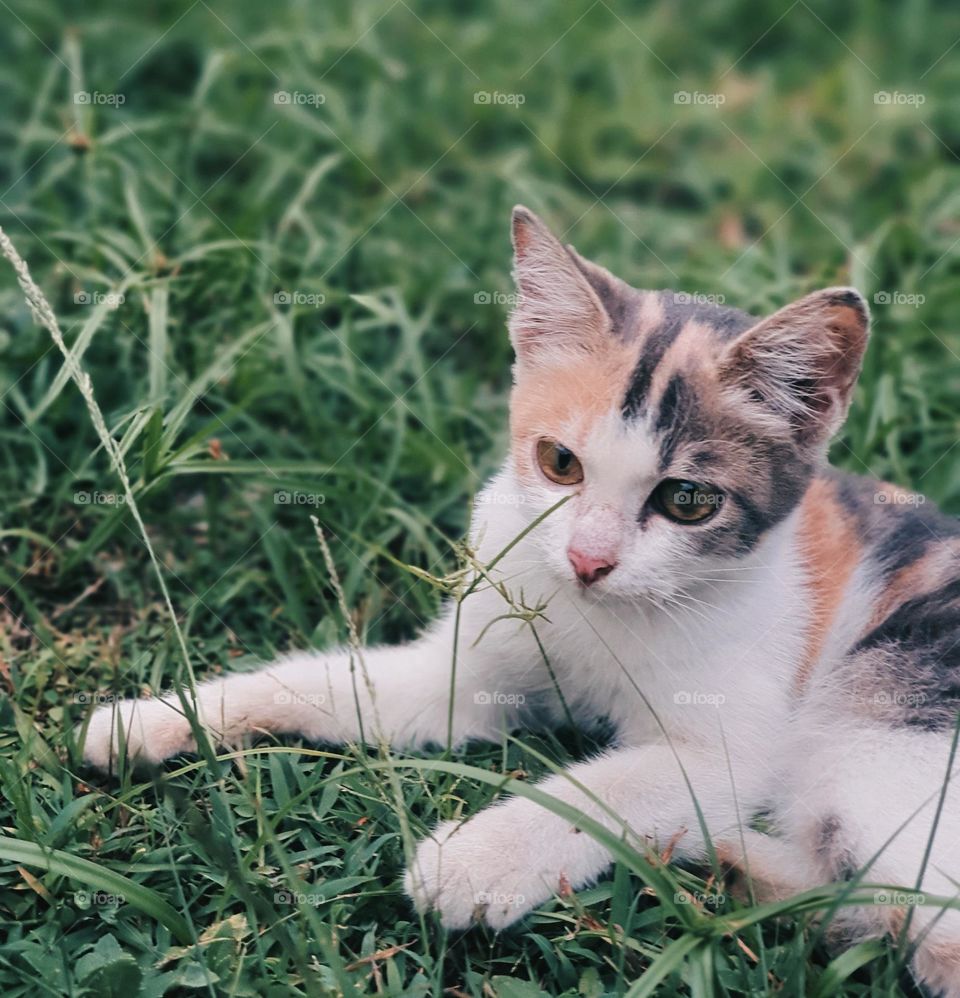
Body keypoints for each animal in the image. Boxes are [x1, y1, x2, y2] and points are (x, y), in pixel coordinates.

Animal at [80, 207, 960, 996]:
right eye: (560, 463)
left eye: (687, 502)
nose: (587, 560)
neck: (596, 620)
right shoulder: (464, 671)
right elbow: (331, 682)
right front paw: (159, 718)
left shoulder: (735, 745)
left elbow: (608, 788)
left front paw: (480, 858)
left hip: (889, 697)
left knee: (922, 926)